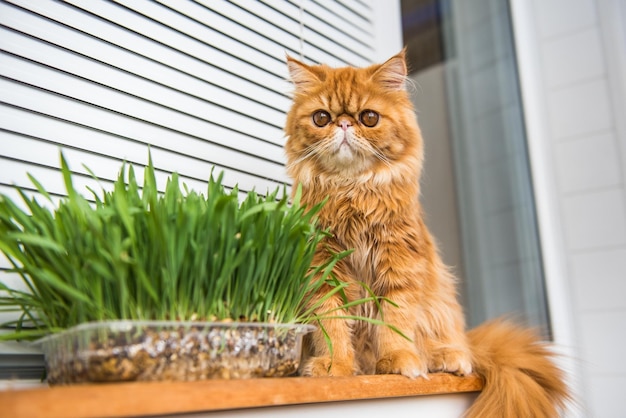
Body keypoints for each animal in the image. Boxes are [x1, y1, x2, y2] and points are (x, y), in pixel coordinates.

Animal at [282, 49, 572, 418]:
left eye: (369, 117)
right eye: (321, 118)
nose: (344, 124)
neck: (351, 191)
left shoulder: (400, 264)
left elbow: (395, 319)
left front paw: (397, 361)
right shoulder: (323, 266)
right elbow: (332, 323)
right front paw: (336, 365)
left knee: (451, 345)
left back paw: (446, 358)